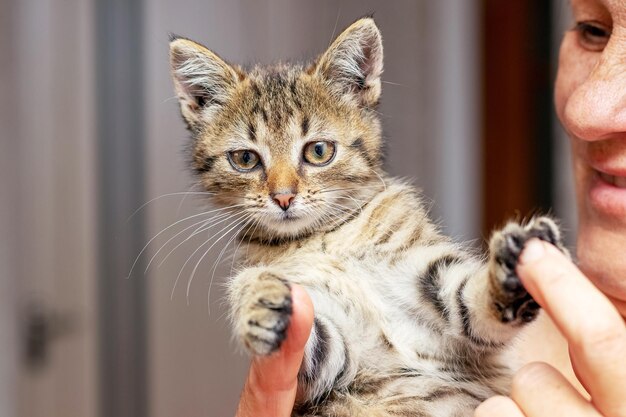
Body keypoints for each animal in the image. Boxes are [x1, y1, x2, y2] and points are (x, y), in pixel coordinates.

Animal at [168, 17, 568, 416]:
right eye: (245, 159)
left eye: (318, 151)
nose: (283, 197)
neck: (324, 239)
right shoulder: (333, 354)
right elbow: (311, 340)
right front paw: (258, 299)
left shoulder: (427, 274)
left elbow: (470, 301)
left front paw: (513, 261)